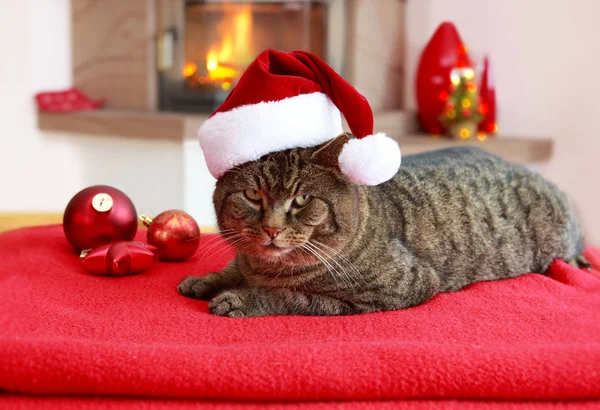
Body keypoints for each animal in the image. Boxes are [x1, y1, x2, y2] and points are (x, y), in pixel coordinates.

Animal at [177, 135, 584, 318]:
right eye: (252, 195)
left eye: (303, 199)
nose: (272, 229)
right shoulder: (245, 260)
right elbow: (232, 267)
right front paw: (206, 279)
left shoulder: (391, 290)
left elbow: (291, 296)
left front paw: (241, 297)